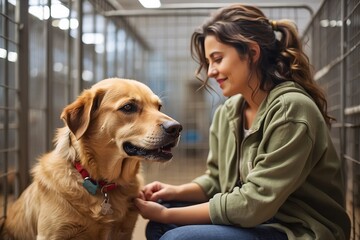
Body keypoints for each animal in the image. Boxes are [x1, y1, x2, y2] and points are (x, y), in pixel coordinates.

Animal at [2, 78, 183, 239]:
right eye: (128, 107)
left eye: (159, 107)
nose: (176, 128)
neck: (102, 184)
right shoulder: (52, 235)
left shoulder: (124, 232)